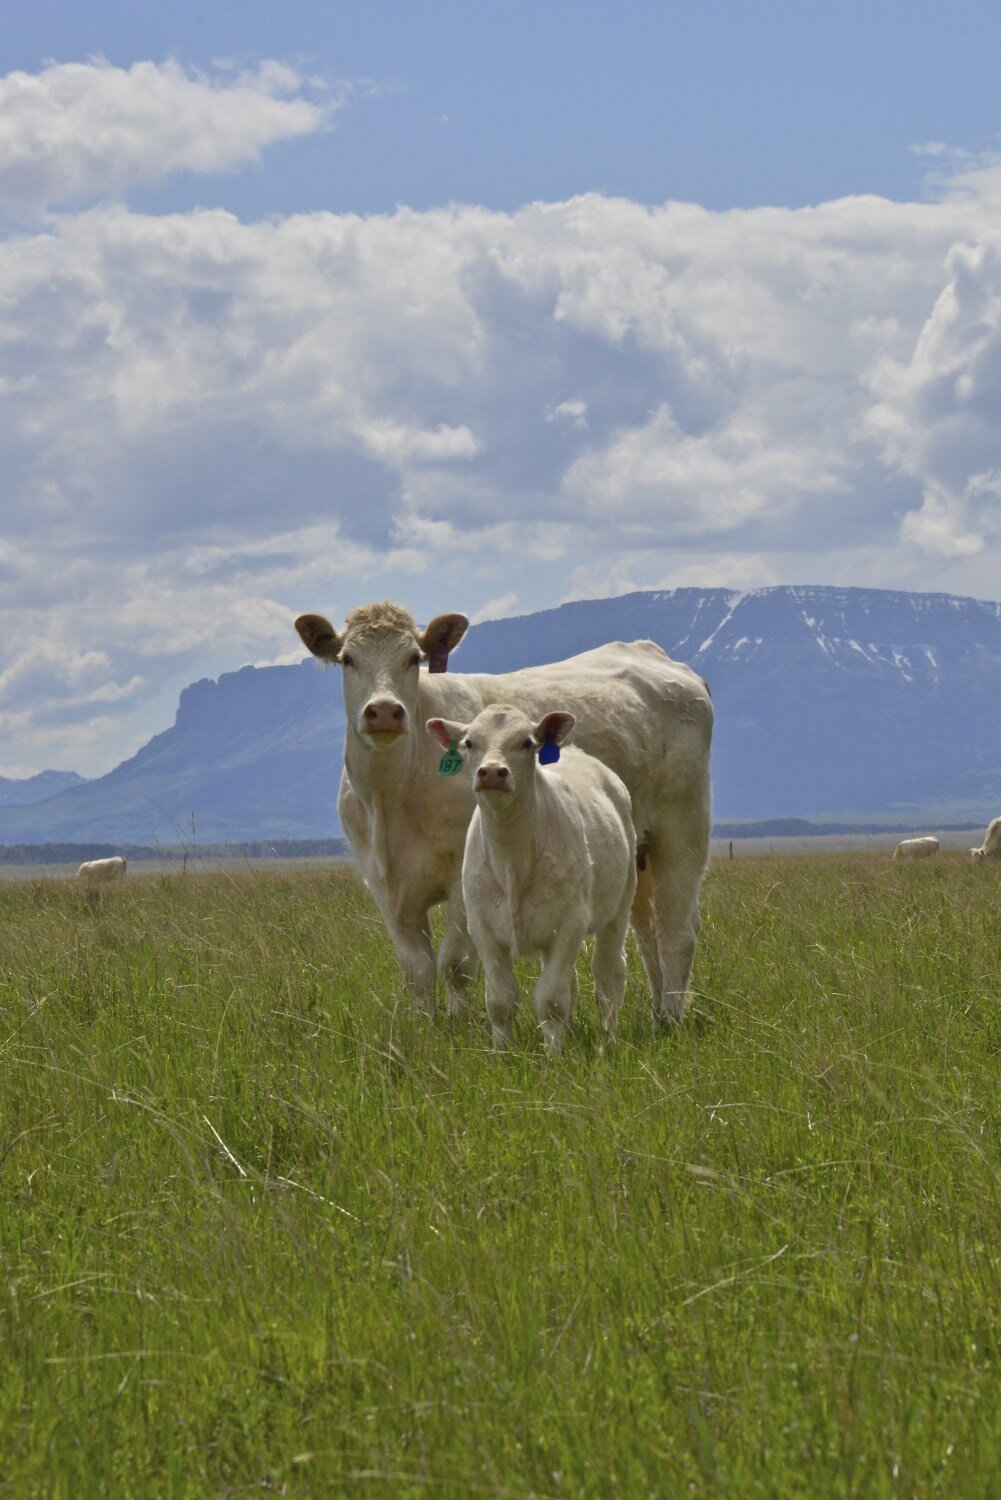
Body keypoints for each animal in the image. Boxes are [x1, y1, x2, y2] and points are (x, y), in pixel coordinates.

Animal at [426, 705, 639, 1050]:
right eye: (470, 743)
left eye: (526, 743)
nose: (492, 772)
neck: (512, 858)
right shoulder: (482, 926)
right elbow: (500, 1000)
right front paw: (503, 1051)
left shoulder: (570, 922)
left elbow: (550, 1000)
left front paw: (554, 1053)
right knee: (572, 981)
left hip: (620, 905)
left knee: (608, 975)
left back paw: (610, 1038)